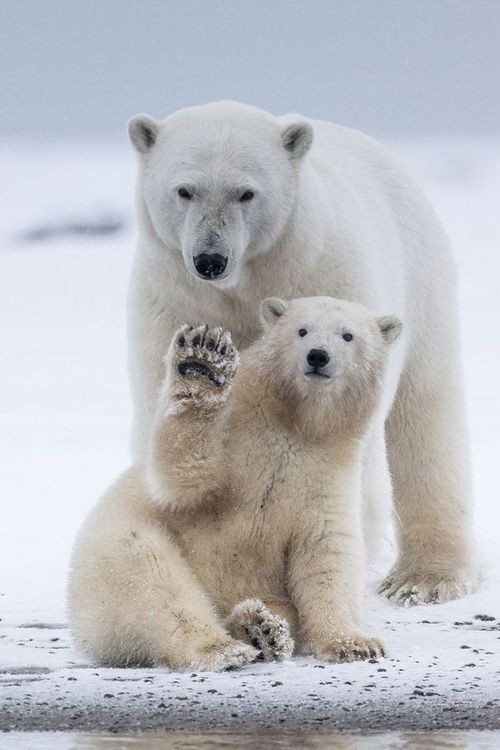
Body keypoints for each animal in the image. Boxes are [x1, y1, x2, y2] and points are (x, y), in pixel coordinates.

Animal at [127, 101, 474, 604]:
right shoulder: (173, 300)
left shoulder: (326, 278)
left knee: (425, 416)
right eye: (184, 190)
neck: (245, 284)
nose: (210, 260)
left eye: (246, 193)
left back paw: (425, 577)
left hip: (423, 281)